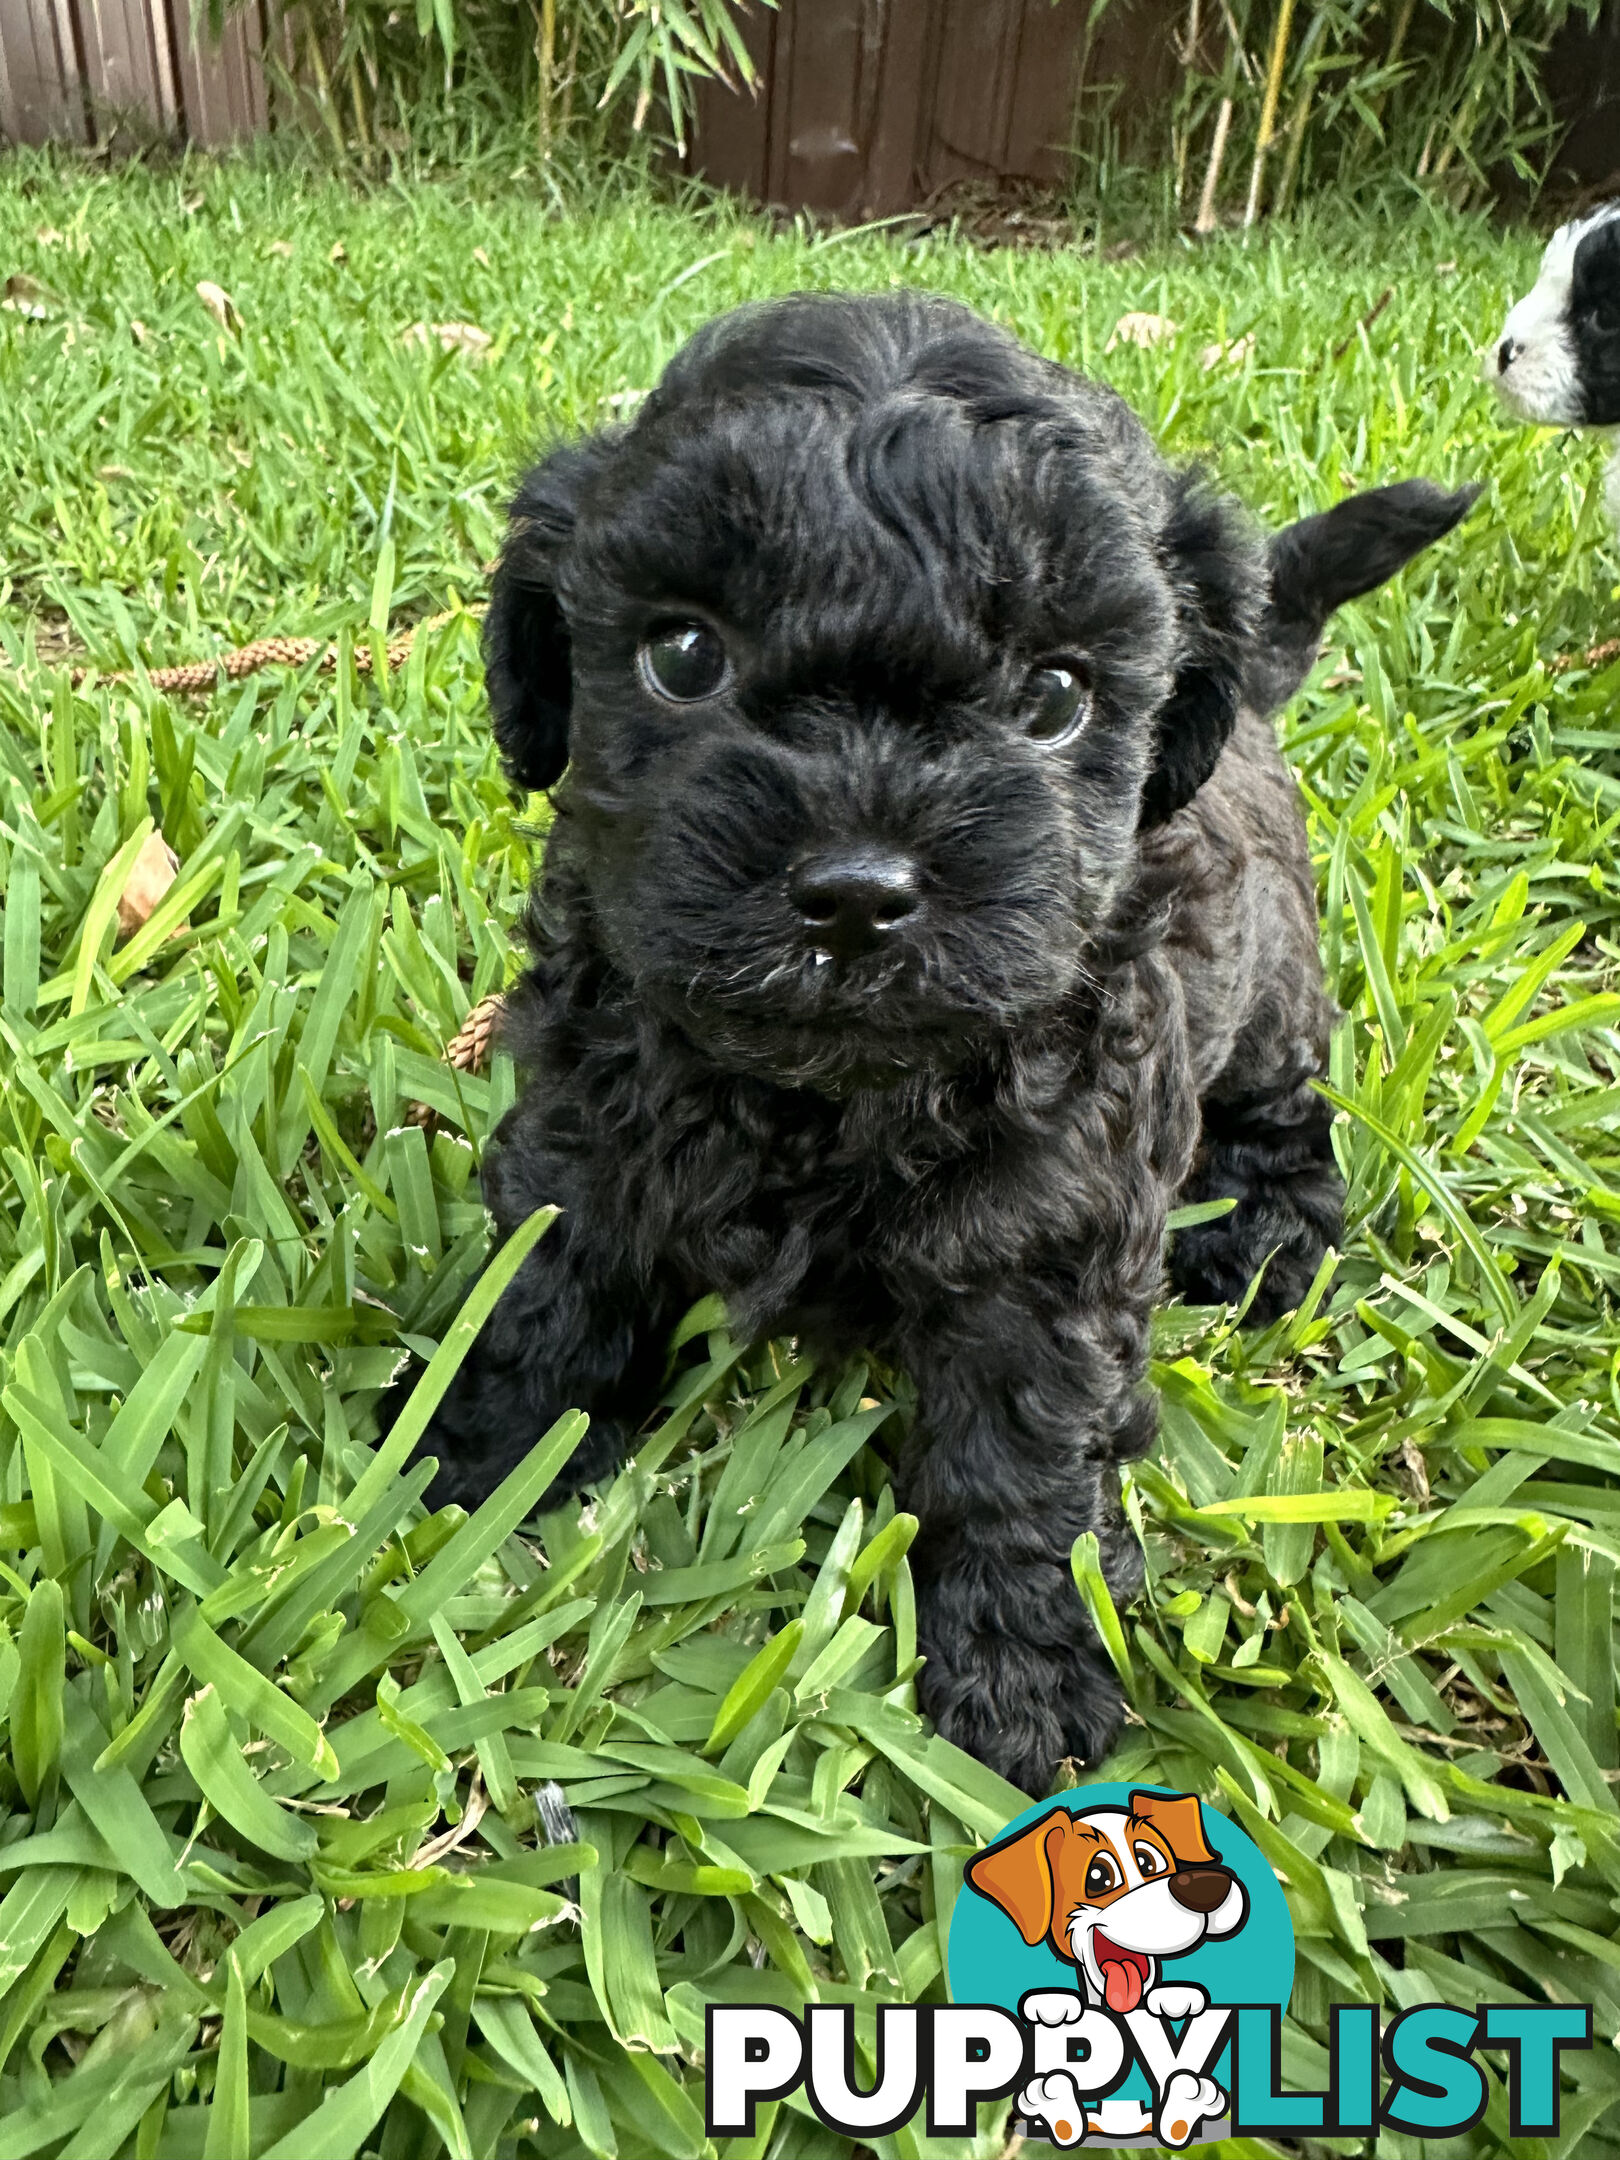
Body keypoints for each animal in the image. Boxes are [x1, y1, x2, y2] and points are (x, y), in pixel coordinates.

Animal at [397, 295, 1486, 1797]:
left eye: (1056, 698)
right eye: (683, 656)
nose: (857, 892)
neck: (831, 1091)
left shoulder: (1053, 1221)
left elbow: (1020, 1444)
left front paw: (1024, 1669)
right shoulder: (589, 1111)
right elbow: (548, 1295)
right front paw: (471, 1468)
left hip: (1271, 982)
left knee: (1285, 1100)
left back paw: (1267, 1233)